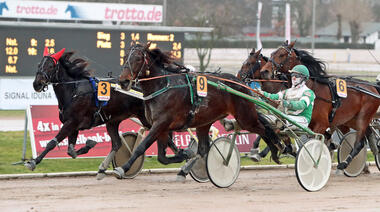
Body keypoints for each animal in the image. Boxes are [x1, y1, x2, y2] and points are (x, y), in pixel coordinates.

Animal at [29, 46, 193, 179]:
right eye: (38, 64)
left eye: (51, 65)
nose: (36, 84)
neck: (74, 90)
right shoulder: (73, 125)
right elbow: (70, 150)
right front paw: (89, 144)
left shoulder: (72, 122)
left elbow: (52, 143)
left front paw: (33, 162)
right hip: (113, 121)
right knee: (117, 144)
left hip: (150, 120)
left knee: (165, 137)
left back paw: (186, 159)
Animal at [113, 43, 284, 179]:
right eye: (125, 57)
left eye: (138, 59)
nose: (123, 81)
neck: (162, 87)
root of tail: (240, 82)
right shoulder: (161, 127)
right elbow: (162, 157)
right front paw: (184, 154)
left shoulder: (161, 124)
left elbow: (141, 148)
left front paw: (122, 168)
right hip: (205, 122)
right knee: (203, 149)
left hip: (245, 117)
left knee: (265, 130)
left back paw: (276, 148)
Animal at [260, 41, 380, 172]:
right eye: (272, 53)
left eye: (282, 55)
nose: (264, 71)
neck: (313, 89)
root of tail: (373, 87)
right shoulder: (308, 125)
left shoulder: (322, 124)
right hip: (351, 119)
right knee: (364, 138)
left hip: (363, 117)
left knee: (359, 142)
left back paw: (344, 164)